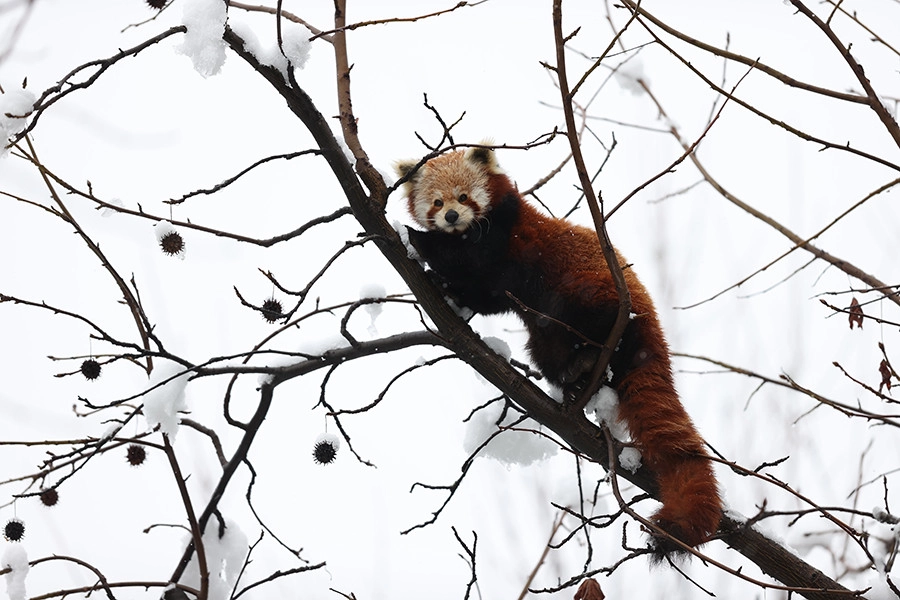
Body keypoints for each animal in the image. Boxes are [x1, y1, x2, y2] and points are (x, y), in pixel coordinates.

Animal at [398, 145, 720, 556]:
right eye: (437, 202)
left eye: (464, 197)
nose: (451, 216)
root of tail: (650, 335)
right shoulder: (493, 277)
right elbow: (482, 294)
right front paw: (448, 290)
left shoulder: (501, 240)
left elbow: (465, 262)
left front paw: (411, 236)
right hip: (547, 339)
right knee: (547, 352)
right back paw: (575, 375)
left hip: (591, 292)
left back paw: (589, 356)